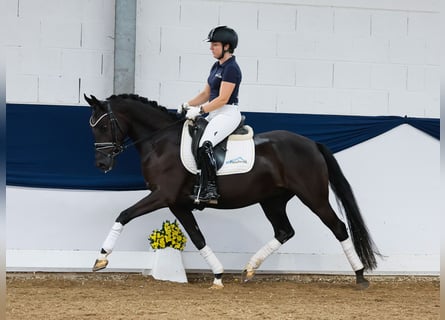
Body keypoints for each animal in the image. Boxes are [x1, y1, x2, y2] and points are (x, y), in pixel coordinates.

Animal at [85, 93, 380, 290]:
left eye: (104, 126)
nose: (101, 165)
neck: (160, 142)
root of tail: (312, 143)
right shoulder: (177, 203)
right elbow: (197, 237)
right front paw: (217, 275)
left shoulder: (163, 196)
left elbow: (124, 215)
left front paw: (101, 259)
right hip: (272, 200)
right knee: (284, 231)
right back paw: (248, 269)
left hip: (313, 196)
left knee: (338, 227)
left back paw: (360, 276)